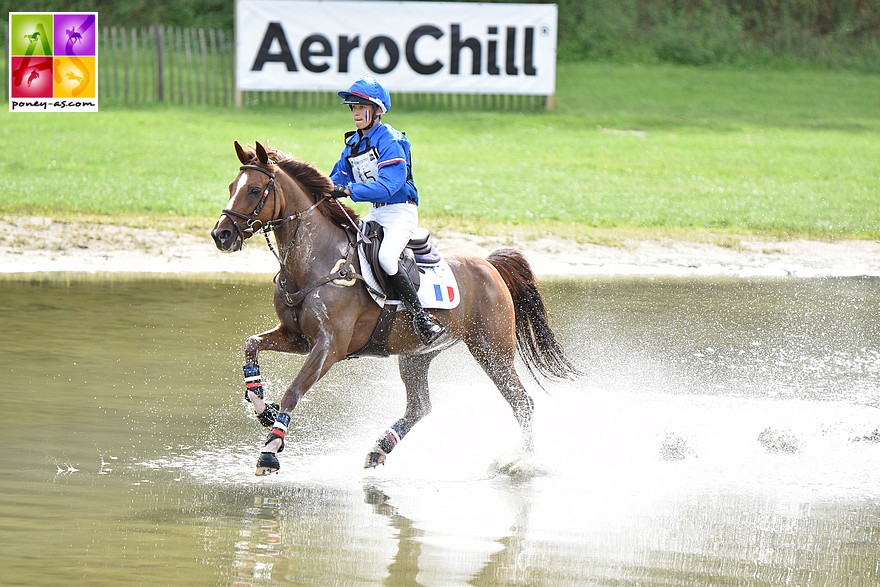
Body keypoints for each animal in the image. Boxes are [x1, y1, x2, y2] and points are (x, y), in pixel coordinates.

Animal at [211, 142, 584, 478]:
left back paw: (523, 463)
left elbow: (294, 390)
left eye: (255, 189)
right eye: (231, 187)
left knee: (521, 402)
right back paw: (379, 449)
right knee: (420, 405)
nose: (221, 234)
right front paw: (263, 409)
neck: (317, 260)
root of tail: (489, 264)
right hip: (417, 354)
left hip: (492, 349)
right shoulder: (296, 337)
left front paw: (270, 451)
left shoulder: (329, 347)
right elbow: (251, 346)